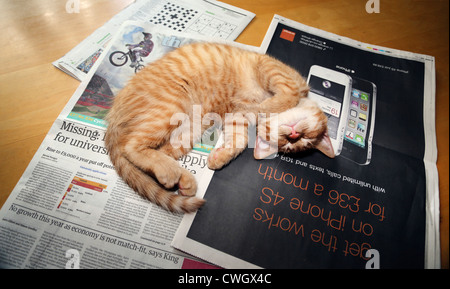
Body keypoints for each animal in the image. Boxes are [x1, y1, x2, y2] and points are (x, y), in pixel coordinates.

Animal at [104, 42, 330, 212]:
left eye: (297, 142)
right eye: (304, 137)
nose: (294, 135)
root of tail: (113, 113)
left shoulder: (237, 117)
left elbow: (239, 141)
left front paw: (220, 157)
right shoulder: (270, 69)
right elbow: (287, 95)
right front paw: (268, 107)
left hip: (189, 129)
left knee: (156, 153)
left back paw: (183, 179)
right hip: (169, 106)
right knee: (130, 146)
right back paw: (169, 172)